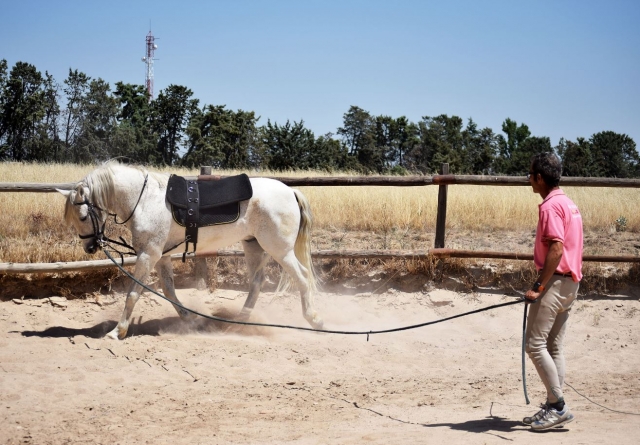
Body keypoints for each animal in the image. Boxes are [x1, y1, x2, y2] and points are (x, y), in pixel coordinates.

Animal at [58, 162, 323, 340]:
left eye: (82, 216)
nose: (91, 247)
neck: (145, 200)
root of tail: (290, 191)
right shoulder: (161, 256)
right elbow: (168, 290)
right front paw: (191, 320)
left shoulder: (148, 255)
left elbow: (134, 293)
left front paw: (117, 331)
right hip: (253, 246)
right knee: (258, 282)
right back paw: (240, 322)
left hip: (280, 250)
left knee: (302, 277)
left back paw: (314, 319)